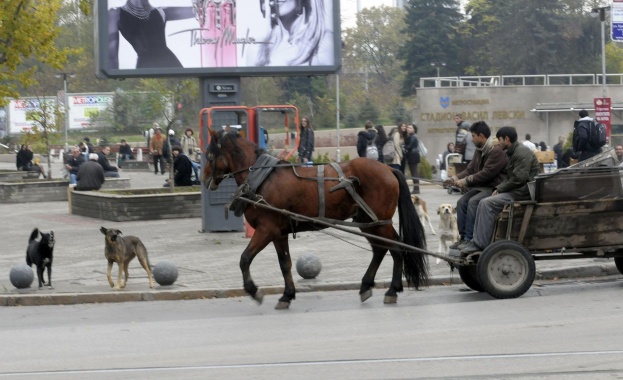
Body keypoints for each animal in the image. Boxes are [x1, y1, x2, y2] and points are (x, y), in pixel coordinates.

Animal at [205, 129, 428, 310]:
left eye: (210, 155)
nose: (205, 181)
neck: (263, 178)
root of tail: (388, 168)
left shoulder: (266, 229)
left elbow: (245, 259)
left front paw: (254, 290)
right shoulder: (278, 232)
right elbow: (285, 263)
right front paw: (287, 295)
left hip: (381, 222)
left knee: (396, 247)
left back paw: (392, 289)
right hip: (368, 221)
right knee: (380, 250)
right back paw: (366, 285)